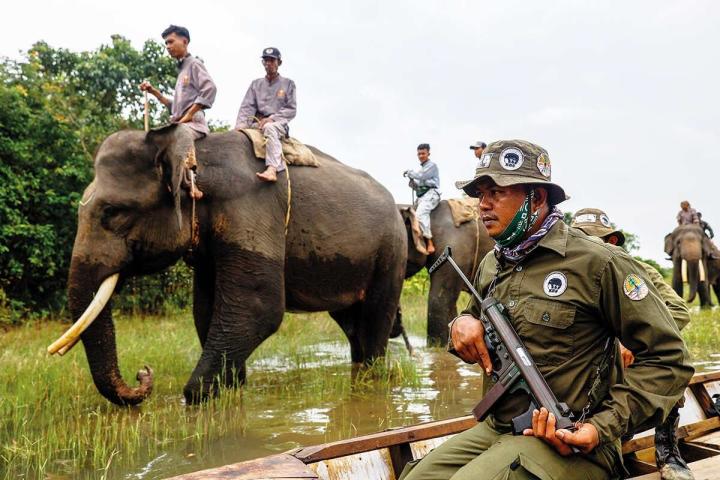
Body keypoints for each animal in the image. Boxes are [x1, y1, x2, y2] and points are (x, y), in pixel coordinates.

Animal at [59, 124, 407, 405]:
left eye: (113, 212)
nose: (143, 373)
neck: (195, 152)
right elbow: (205, 310)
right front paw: (232, 389)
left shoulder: (250, 208)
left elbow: (258, 308)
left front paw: (200, 395)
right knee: (351, 323)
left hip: (392, 253)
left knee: (375, 318)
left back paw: (373, 379)